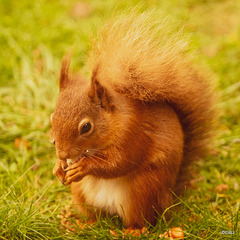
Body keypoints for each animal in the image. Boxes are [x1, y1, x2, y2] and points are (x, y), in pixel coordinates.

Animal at [49, 9, 217, 227]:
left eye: (86, 127)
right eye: (52, 116)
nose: (61, 153)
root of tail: (169, 197)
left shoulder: (134, 133)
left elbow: (119, 163)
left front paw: (84, 166)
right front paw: (58, 167)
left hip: (143, 190)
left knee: (141, 219)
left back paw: (134, 229)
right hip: (82, 194)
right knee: (95, 216)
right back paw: (84, 224)